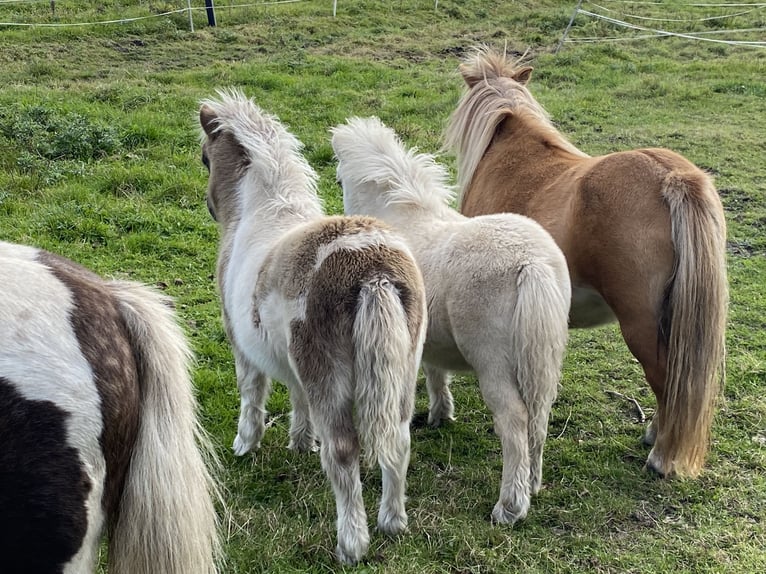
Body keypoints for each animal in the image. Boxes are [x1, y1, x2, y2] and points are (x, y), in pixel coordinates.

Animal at [198, 92, 428, 564]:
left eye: (205, 159)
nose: (209, 207)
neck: (261, 212)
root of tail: (374, 272)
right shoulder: (293, 362)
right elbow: (295, 394)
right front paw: (301, 442)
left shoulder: (242, 348)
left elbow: (252, 396)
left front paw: (245, 445)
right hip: (403, 375)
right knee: (398, 442)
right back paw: (392, 523)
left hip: (332, 380)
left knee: (344, 452)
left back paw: (351, 544)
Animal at [332, 117, 572, 528]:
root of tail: (532, 264)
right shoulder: (426, 339)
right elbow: (435, 372)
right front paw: (441, 414)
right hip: (540, 356)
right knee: (539, 417)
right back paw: (532, 484)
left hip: (493, 363)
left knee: (514, 421)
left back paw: (510, 506)